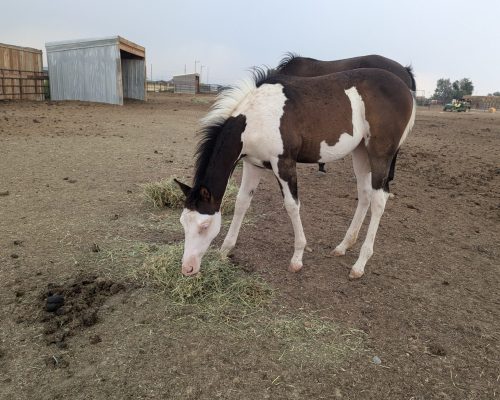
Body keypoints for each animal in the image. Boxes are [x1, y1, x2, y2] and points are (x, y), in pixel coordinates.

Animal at [174, 66, 416, 278]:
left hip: (379, 154)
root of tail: (406, 89)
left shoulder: (284, 163)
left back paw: (359, 265)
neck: (255, 119)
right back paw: (343, 246)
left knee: (379, 200)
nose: (187, 269)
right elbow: (242, 203)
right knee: (365, 195)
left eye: (204, 226)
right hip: (360, 152)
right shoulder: (253, 165)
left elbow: (292, 206)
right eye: (183, 223)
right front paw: (225, 250)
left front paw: (297, 258)